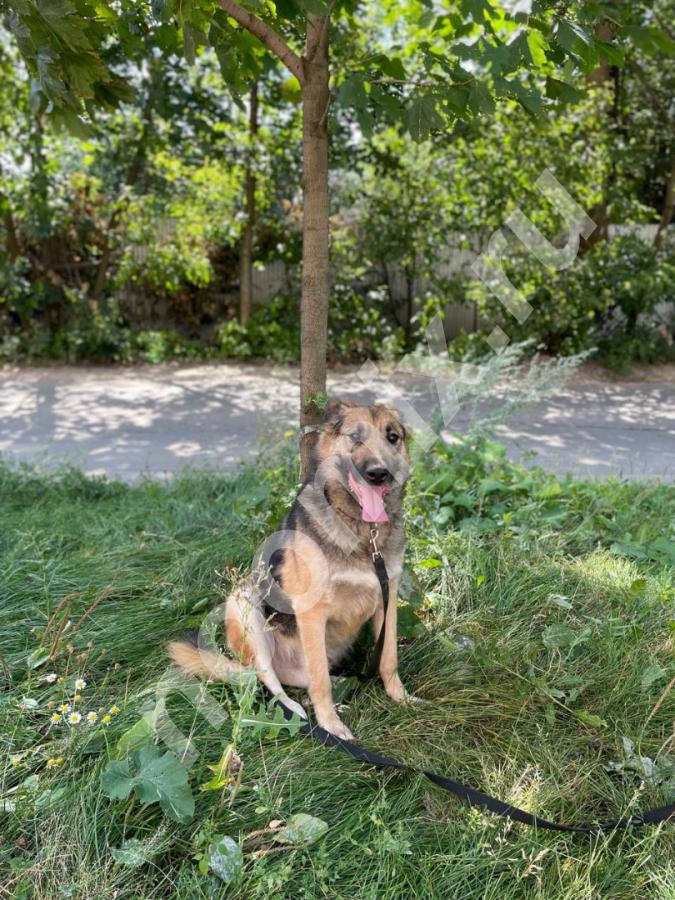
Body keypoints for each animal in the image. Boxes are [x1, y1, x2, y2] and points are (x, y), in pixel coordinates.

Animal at [169, 400, 412, 740]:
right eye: (356, 437)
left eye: (393, 438)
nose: (379, 474)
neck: (365, 534)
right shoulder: (311, 611)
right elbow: (319, 682)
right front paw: (330, 725)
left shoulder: (387, 601)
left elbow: (388, 658)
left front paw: (400, 697)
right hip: (244, 605)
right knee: (272, 681)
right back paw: (295, 710)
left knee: (307, 676)